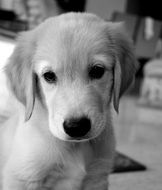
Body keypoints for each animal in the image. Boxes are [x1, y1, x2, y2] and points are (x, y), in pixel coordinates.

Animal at [0, 12, 137, 189]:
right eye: (49, 76)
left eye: (97, 71)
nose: (76, 126)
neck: (76, 147)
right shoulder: (21, 177)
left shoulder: (97, 176)